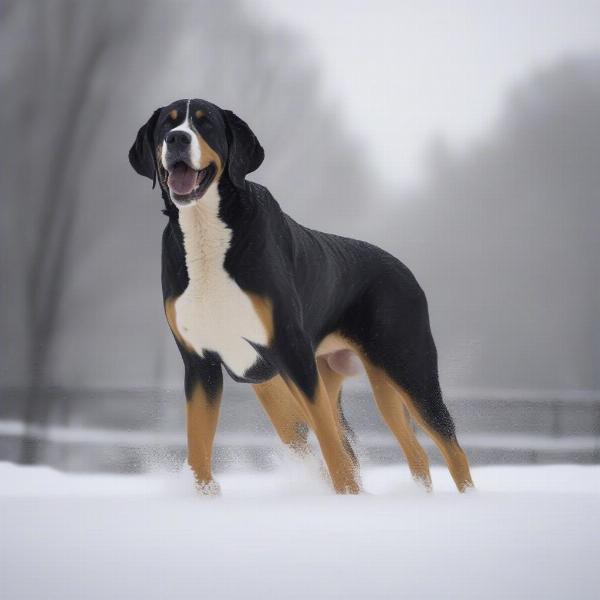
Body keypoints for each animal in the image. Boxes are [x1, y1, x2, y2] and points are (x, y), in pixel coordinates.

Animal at [127, 98, 474, 492]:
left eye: (205, 123)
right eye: (167, 125)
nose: (177, 139)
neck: (205, 232)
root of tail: (405, 271)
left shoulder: (293, 353)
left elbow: (332, 449)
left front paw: (347, 496)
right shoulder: (200, 364)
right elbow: (198, 449)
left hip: (409, 371)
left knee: (452, 450)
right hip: (314, 392)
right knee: (412, 453)